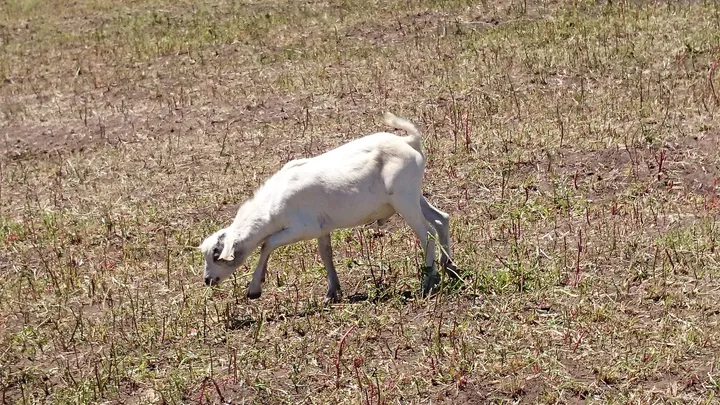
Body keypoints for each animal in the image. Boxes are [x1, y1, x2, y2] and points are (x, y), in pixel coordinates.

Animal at [199, 112, 455, 301]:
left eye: (216, 254)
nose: (207, 280)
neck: (272, 204)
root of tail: (409, 141)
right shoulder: (322, 228)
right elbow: (326, 254)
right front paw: (332, 292)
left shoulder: (303, 228)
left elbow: (267, 243)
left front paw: (254, 288)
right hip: (412, 196)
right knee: (441, 218)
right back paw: (449, 267)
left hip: (405, 199)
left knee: (427, 233)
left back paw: (428, 280)